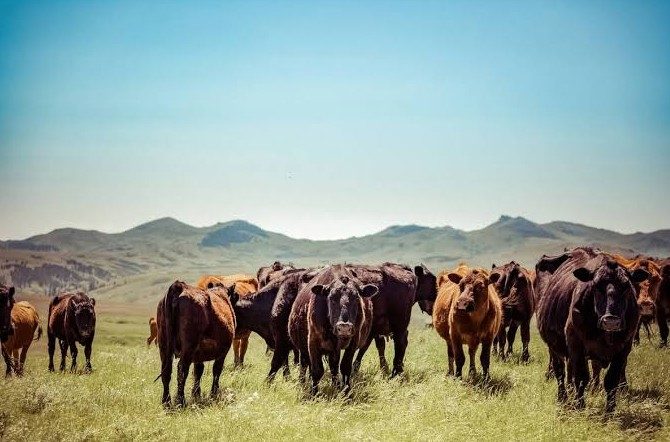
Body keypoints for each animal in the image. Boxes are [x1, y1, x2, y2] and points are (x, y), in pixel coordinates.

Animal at [288, 265, 378, 395]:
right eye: (331, 298)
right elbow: (317, 370)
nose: (344, 327)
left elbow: (345, 367)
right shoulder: (313, 341)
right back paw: (302, 382)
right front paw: (313, 393)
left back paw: (336, 385)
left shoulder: (353, 341)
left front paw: (346, 392)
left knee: (333, 367)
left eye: (356, 297)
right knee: (304, 364)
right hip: (303, 348)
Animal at [535, 247, 648, 412]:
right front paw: (579, 405)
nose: (611, 321)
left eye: (627, 286)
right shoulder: (576, 343)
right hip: (554, 347)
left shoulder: (624, 348)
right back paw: (563, 398)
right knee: (560, 372)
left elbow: (611, 380)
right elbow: (581, 377)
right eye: (596, 286)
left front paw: (610, 410)